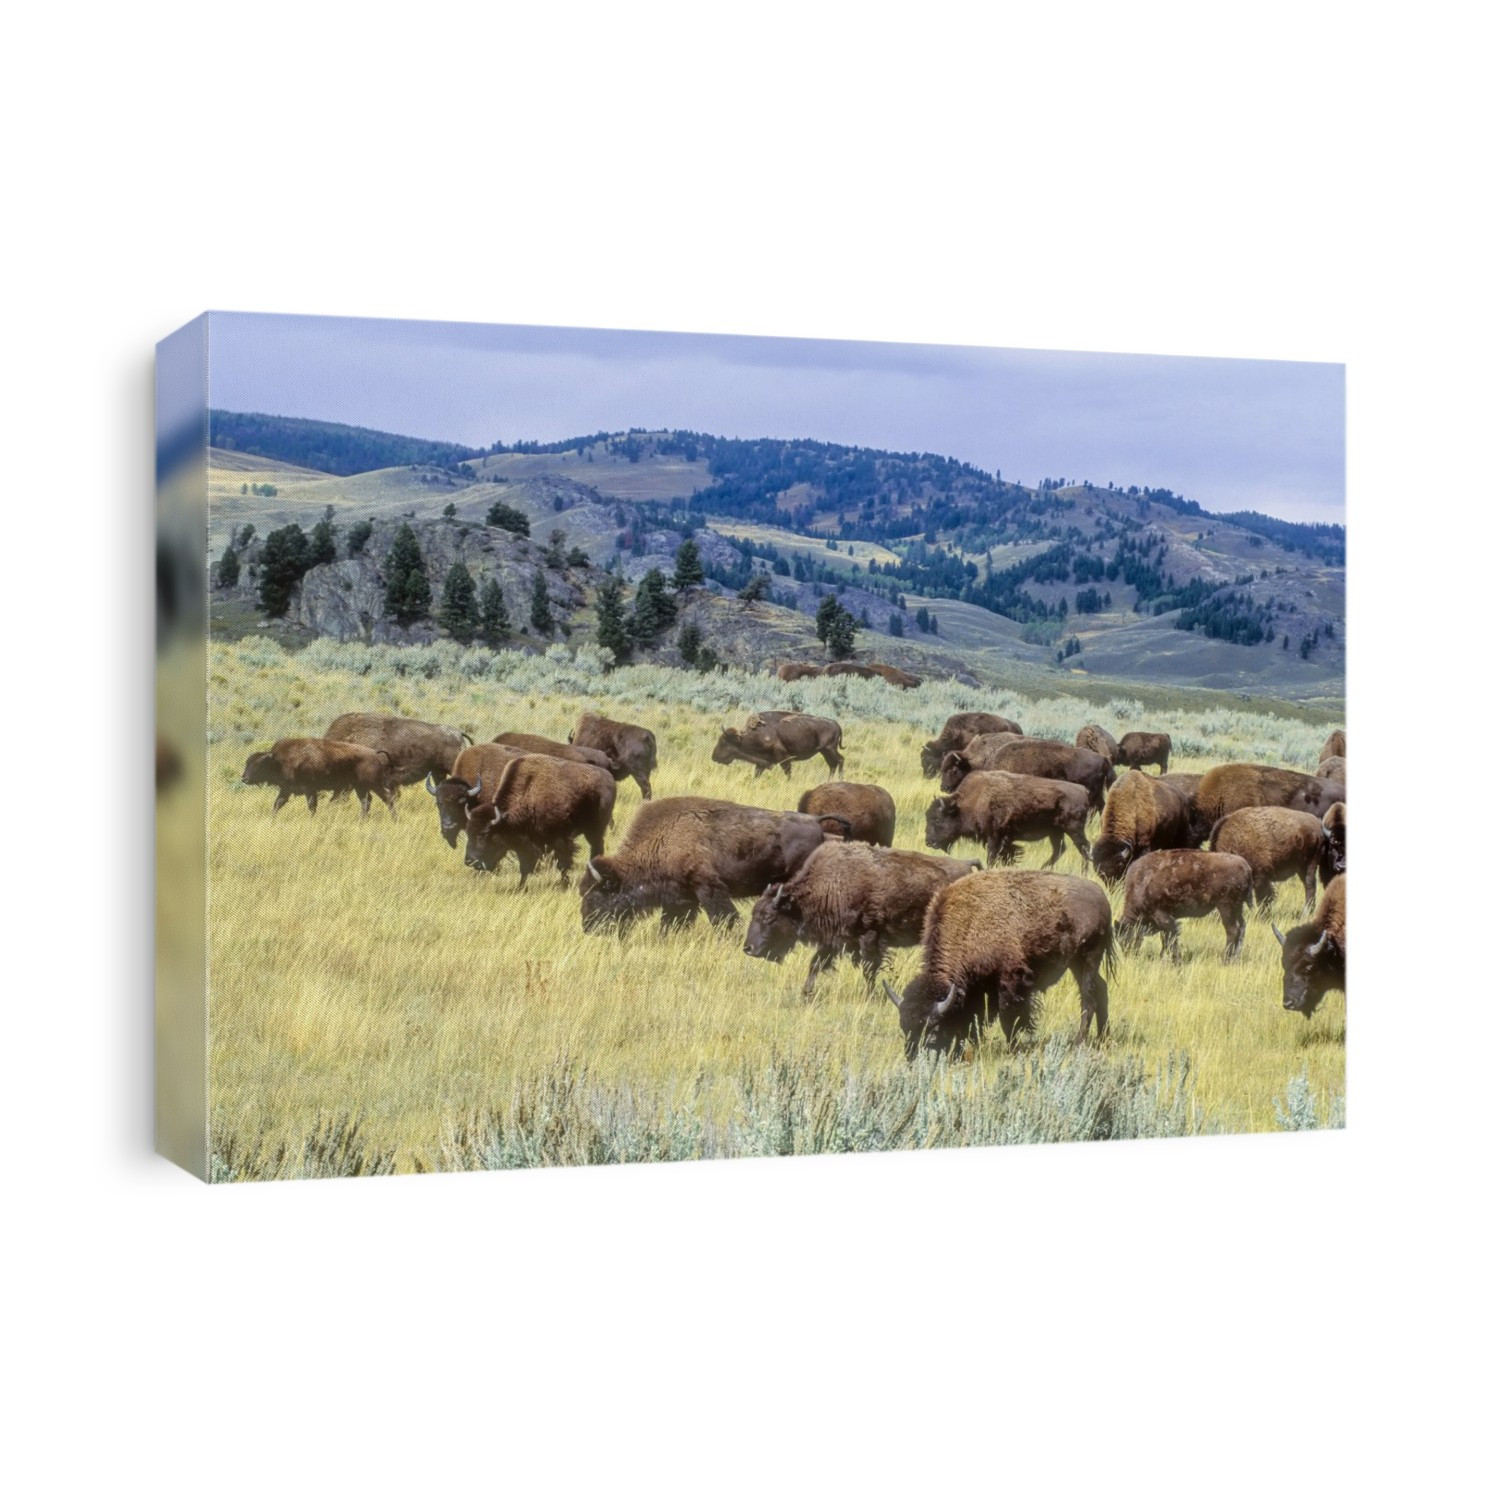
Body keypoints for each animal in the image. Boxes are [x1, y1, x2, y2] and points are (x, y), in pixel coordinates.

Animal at [241, 737, 395, 818]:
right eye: (247, 762)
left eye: (258, 764)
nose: (244, 779)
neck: (278, 761)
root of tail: (374, 753)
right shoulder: (286, 789)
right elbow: (277, 803)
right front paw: (271, 818)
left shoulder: (310, 790)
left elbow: (312, 806)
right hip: (360, 787)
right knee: (366, 801)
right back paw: (362, 819)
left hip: (373, 784)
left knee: (387, 798)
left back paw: (394, 818)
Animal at [744, 842, 978, 994]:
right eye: (754, 913)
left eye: (769, 916)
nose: (748, 949)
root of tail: (969, 868)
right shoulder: (833, 940)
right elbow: (816, 964)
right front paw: (806, 993)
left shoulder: (869, 937)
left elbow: (869, 969)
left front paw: (870, 995)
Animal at [883, 869, 1114, 1055]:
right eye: (904, 1027)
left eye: (934, 1028)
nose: (912, 1058)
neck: (968, 924)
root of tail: (1101, 895)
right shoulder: (975, 987)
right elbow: (974, 1020)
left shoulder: (1010, 981)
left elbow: (1008, 1018)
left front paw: (1013, 1048)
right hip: (1076, 963)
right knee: (1101, 990)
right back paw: (1103, 1037)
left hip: (1089, 958)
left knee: (1089, 999)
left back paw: (1079, 1042)